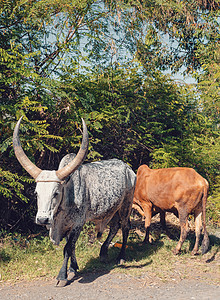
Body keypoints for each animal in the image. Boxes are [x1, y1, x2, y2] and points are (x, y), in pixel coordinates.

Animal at [13, 117, 136, 286]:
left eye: (56, 193)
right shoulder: (66, 226)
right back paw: (103, 252)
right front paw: (73, 268)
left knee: (125, 227)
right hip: (113, 208)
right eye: (36, 193)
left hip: (126, 205)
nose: (43, 219)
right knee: (114, 226)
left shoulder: (77, 224)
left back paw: (121, 257)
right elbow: (71, 248)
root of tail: (128, 168)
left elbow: (68, 248)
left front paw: (62, 276)